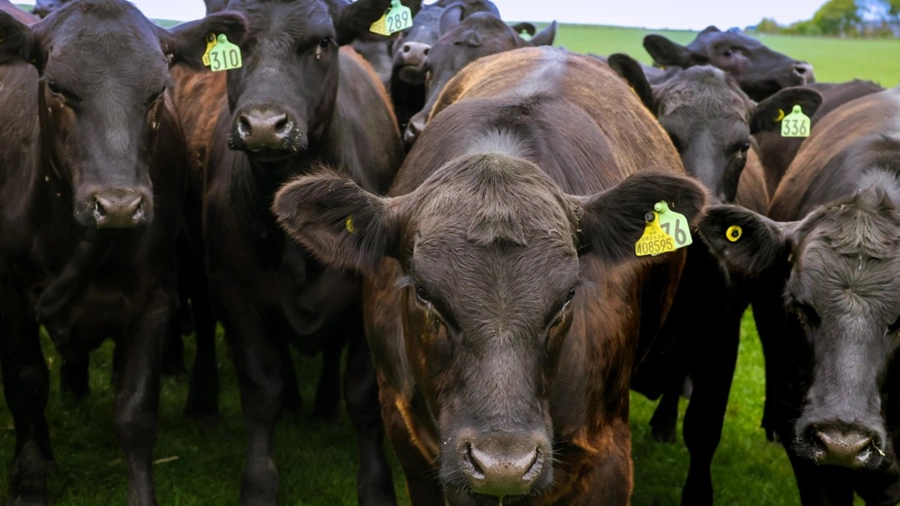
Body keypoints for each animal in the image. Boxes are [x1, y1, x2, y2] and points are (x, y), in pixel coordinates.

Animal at [0, 1, 245, 504]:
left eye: (158, 92)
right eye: (56, 87)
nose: (118, 205)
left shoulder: (156, 296)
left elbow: (135, 412)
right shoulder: (9, 289)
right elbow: (26, 383)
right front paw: (30, 480)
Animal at [198, 0, 406, 504]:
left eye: (322, 43)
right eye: (236, 43)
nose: (264, 126)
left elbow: (364, 396)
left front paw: (376, 485)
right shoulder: (232, 290)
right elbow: (261, 388)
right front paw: (258, 484)